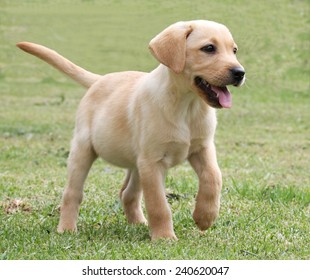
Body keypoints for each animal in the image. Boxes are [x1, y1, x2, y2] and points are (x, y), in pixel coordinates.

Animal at [17, 19, 246, 240]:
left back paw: (138, 223)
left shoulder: (202, 148)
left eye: (234, 50)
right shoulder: (152, 162)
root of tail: (100, 79)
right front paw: (164, 237)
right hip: (84, 150)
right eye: (209, 48)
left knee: (127, 193)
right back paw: (66, 228)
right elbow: (158, 204)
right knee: (72, 193)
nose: (240, 73)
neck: (187, 106)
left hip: (137, 161)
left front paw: (205, 217)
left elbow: (214, 177)